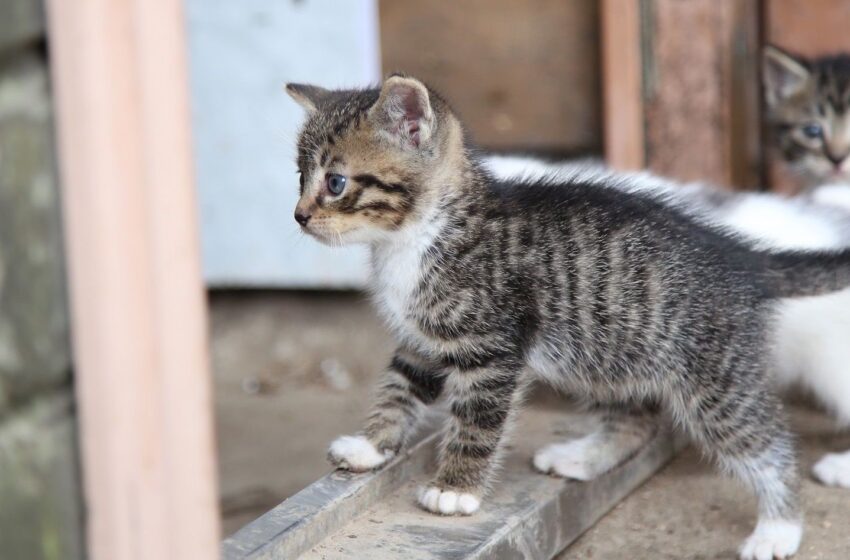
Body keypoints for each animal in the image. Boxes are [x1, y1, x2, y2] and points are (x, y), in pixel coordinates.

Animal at [286, 76, 850, 556]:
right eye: (300, 176)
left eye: (335, 182)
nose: (299, 216)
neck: (414, 238)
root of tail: (741, 253)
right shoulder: (420, 341)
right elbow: (398, 391)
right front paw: (370, 445)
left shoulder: (492, 347)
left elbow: (477, 421)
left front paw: (455, 489)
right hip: (604, 348)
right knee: (635, 419)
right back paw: (584, 456)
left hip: (713, 379)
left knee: (766, 443)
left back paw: (780, 527)